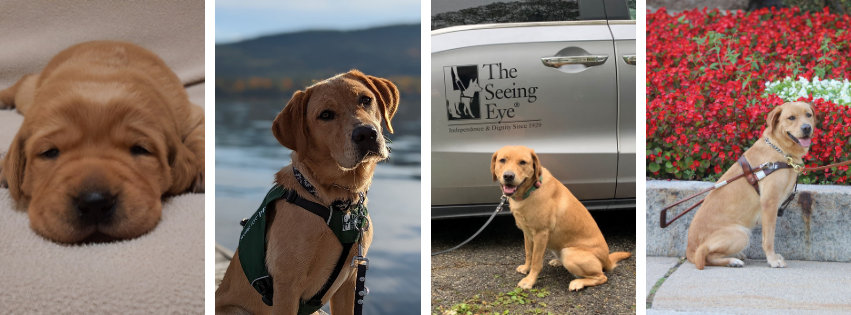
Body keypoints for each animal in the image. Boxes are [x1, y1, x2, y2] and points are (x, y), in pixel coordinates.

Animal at [213, 70, 400, 314]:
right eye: (326, 115)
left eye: (366, 100)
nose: (367, 134)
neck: (336, 202)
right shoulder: (286, 289)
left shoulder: (349, 283)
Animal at [492, 147, 632, 292]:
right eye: (502, 160)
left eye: (523, 162)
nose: (508, 176)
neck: (531, 190)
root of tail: (607, 260)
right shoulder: (527, 233)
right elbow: (528, 253)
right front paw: (526, 268)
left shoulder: (541, 234)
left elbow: (536, 261)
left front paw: (530, 281)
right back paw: (558, 262)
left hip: (569, 253)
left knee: (602, 276)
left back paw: (578, 283)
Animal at [684, 102, 820, 270]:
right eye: (791, 117)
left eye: (808, 115)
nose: (807, 128)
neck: (780, 150)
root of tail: (689, 249)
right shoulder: (769, 203)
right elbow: (768, 239)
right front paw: (772, 260)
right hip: (741, 234)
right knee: (706, 255)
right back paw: (733, 261)